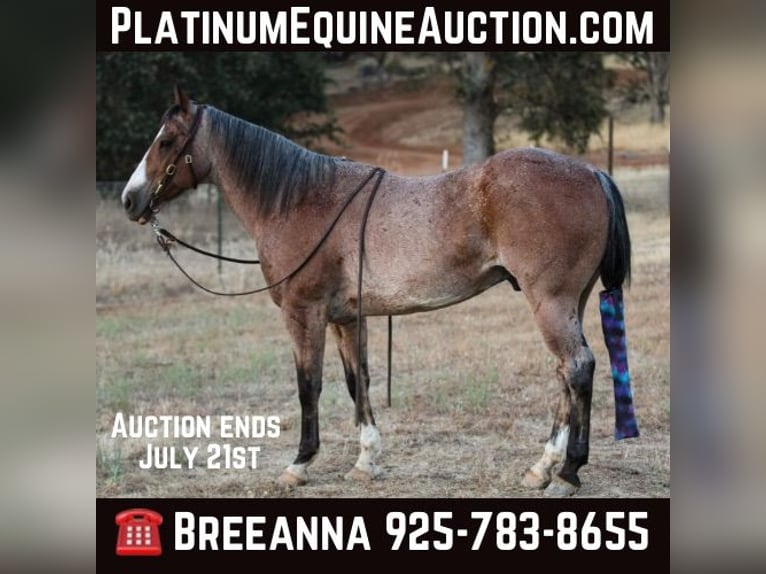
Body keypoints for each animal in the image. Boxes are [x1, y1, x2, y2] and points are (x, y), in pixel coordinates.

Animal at [120, 86, 637, 496]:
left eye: (166, 141)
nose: (129, 200)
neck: (299, 199)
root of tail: (590, 173)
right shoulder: (347, 317)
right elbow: (358, 382)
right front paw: (366, 461)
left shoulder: (304, 312)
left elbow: (309, 385)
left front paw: (299, 464)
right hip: (570, 303)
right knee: (565, 374)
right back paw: (542, 468)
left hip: (550, 303)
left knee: (578, 368)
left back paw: (568, 472)